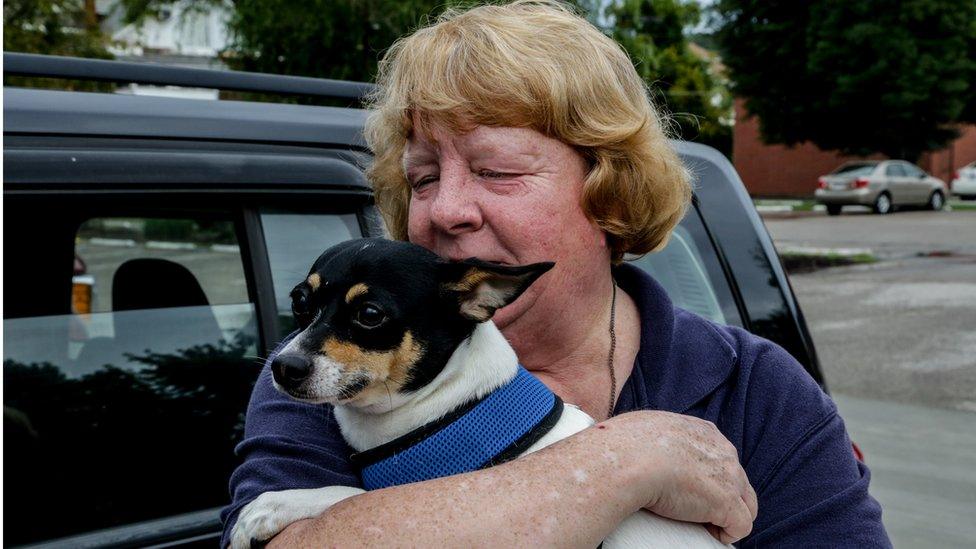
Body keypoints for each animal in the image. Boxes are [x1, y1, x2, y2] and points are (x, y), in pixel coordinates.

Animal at [233, 238, 728, 544]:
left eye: (370, 315)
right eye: (299, 302)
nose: (283, 366)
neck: (449, 411)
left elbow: (351, 494)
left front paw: (274, 505)